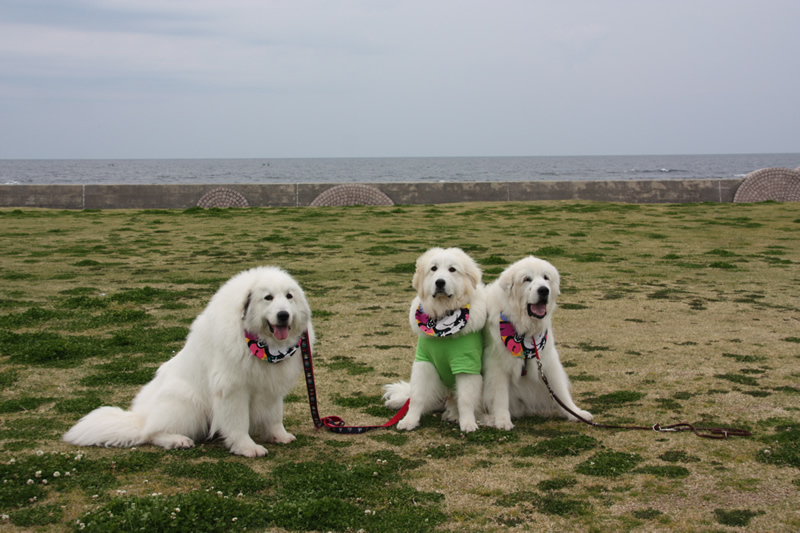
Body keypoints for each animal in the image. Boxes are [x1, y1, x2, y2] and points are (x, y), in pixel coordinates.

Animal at [63, 266, 312, 458]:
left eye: (289, 296)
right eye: (267, 297)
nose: (283, 315)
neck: (263, 345)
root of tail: (142, 417)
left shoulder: (271, 387)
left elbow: (274, 416)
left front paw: (279, 436)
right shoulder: (232, 389)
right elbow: (238, 422)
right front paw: (246, 447)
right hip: (188, 403)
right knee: (151, 433)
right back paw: (177, 440)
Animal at [382, 248, 488, 432]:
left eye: (452, 269)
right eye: (433, 268)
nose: (439, 283)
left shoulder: (467, 365)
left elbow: (465, 399)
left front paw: (468, 423)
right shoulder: (424, 362)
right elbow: (416, 397)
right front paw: (409, 420)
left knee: (453, 402)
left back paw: (453, 415)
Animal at [482, 256, 588, 428]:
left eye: (546, 278)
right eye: (527, 279)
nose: (544, 290)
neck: (525, 333)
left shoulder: (547, 361)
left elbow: (560, 391)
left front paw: (575, 413)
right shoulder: (497, 366)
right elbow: (500, 397)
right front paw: (502, 420)